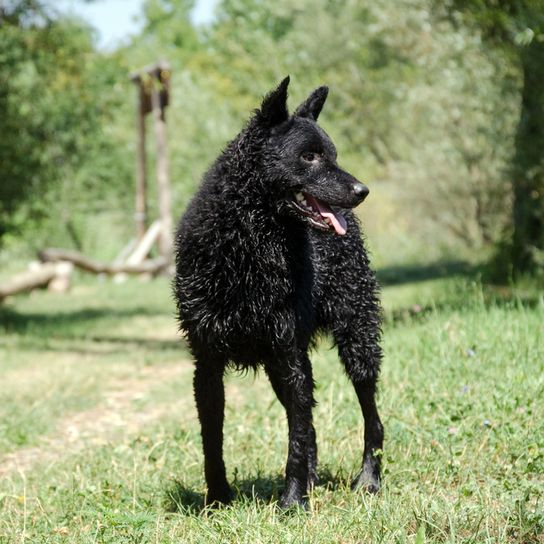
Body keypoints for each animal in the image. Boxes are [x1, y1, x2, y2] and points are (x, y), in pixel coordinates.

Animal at [174, 76, 382, 510]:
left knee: (371, 417)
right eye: (310, 156)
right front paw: (217, 499)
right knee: (311, 422)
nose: (362, 189)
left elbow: (296, 438)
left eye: (333, 154)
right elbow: (212, 440)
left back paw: (369, 478)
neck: (248, 246)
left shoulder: (288, 354)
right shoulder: (208, 363)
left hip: (357, 341)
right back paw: (314, 481)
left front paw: (292, 501)